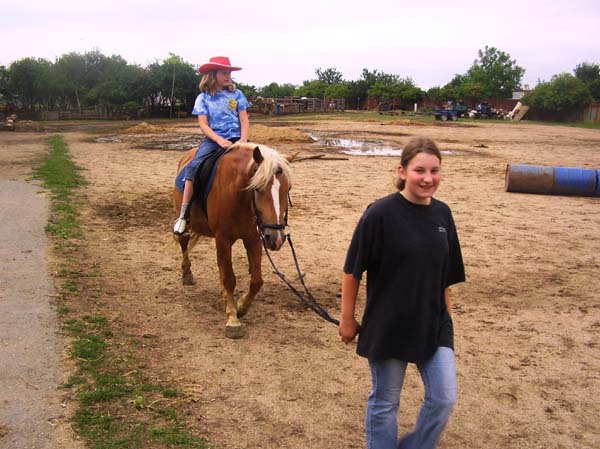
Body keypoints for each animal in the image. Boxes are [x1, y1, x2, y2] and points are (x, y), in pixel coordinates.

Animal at [172, 142, 294, 338]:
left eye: (287, 189)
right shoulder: (223, 238)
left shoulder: (254, 239)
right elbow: (230, 278)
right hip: (187, 220)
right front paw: (233, 319)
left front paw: (241, 307)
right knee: (184, 241)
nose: (276, 238)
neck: (238, 195)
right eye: (258, 188)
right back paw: (187, 274)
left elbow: (256, 281)